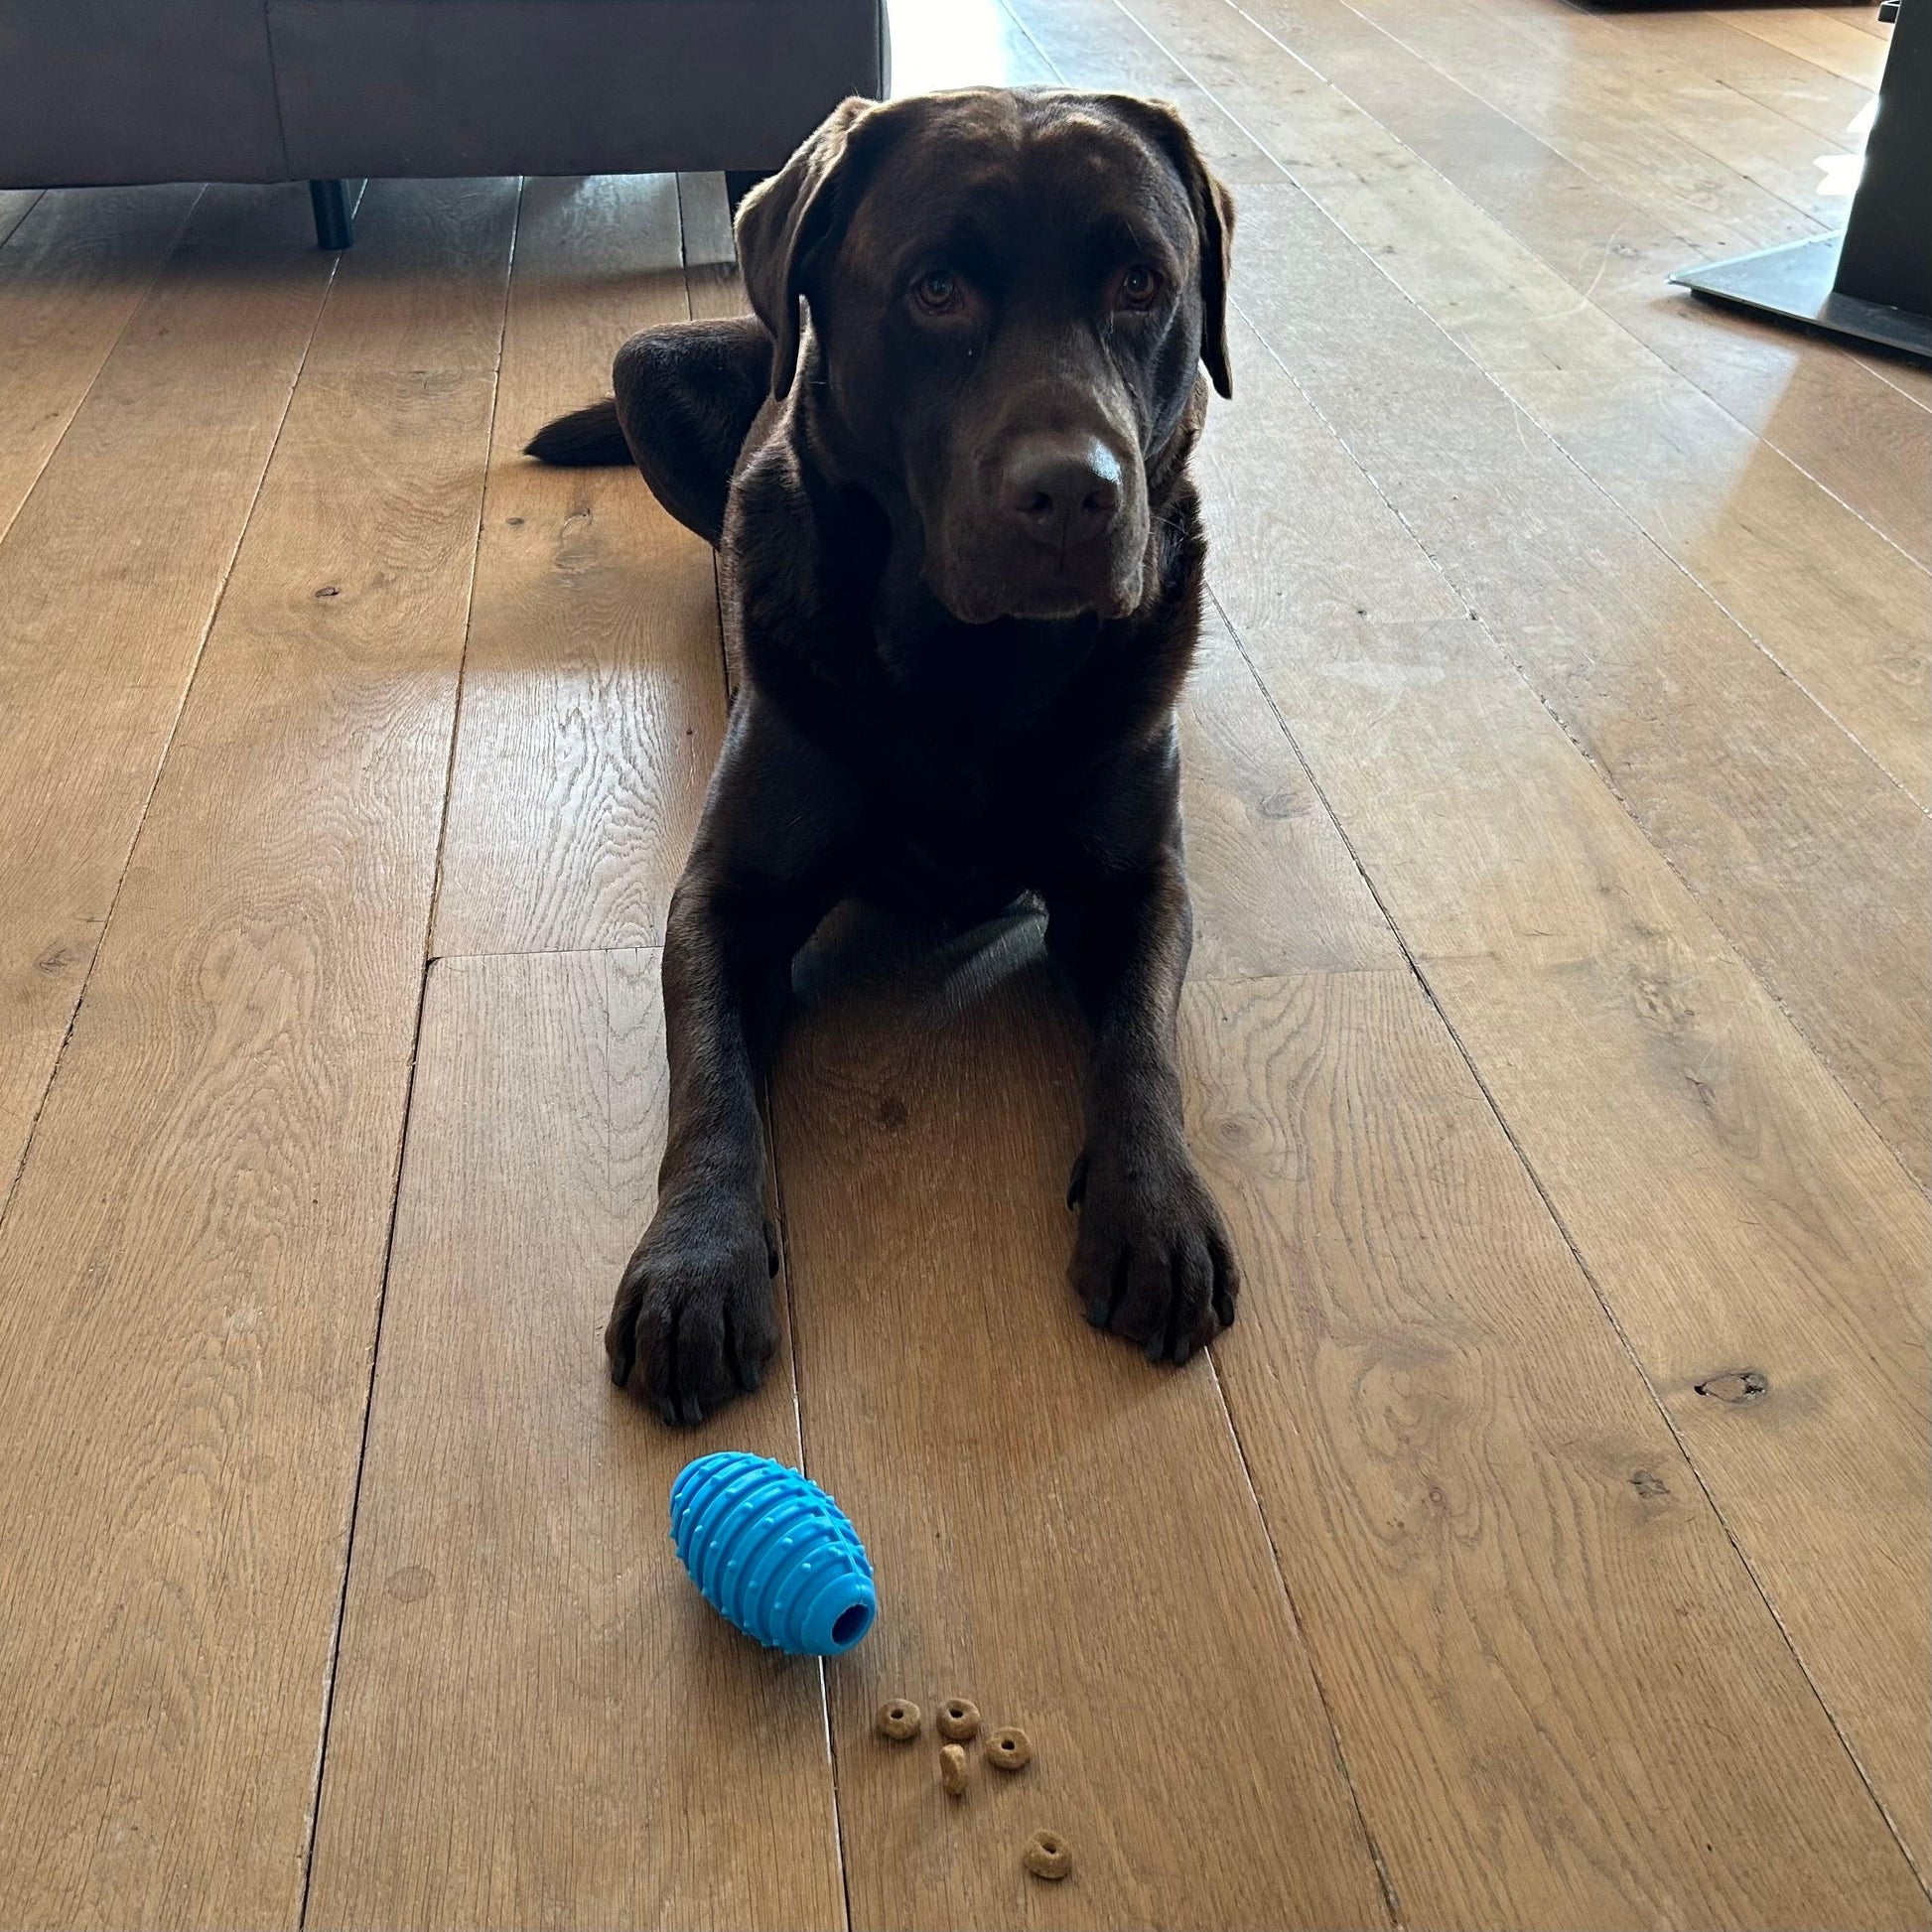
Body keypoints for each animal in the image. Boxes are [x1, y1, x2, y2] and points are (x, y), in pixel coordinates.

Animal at [533, 86, 1236, 1422]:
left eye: (1140, 281)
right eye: (936, 291)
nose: (1074, 493)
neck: (974, 672)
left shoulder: (1136, 883)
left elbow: (1143, 1039)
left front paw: (1156, 1207)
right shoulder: (726, 897)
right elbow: (708, 1076)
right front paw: (695, 1260)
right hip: (644, 365)